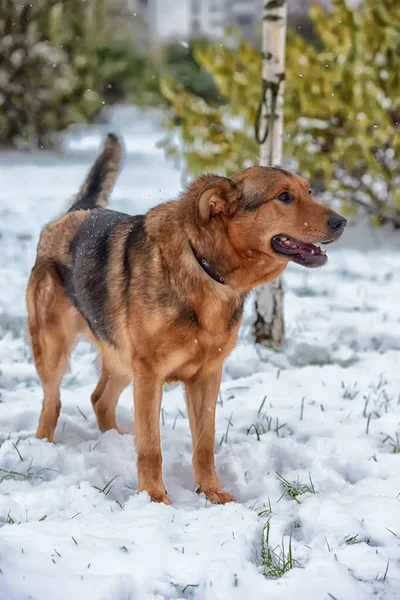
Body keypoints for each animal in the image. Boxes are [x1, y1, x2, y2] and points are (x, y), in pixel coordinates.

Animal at [27, 134, 346, 504]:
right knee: (52, 402)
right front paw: (153, 499)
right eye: (284, 197)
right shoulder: (149, 373)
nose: (341, 222)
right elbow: (151, 447)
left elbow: (204, 444)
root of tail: (78, 211)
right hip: (55, 348)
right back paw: (45, 447)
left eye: (309, 191)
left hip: (121, 356)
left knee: (99, 399)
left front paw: (211, 493)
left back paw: (114, 444)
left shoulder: (206, 375)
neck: (206, 266)